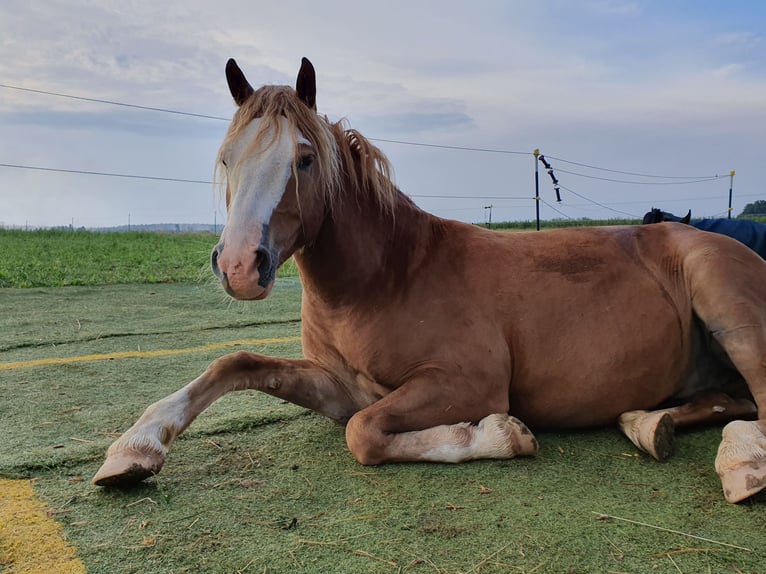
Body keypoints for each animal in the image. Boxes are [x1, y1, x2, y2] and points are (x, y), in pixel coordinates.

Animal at [91, 57, 766, 504]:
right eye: (229, 158)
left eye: (304, 160)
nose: (238, 266)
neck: (388, 277)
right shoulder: (341, 386)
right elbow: (237, 364)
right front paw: (134, 447)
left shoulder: (465, 382)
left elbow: (365, 436)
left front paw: (499, 435)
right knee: (731, 401)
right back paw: (649, 424)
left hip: (730, 312)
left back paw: (741, 462)